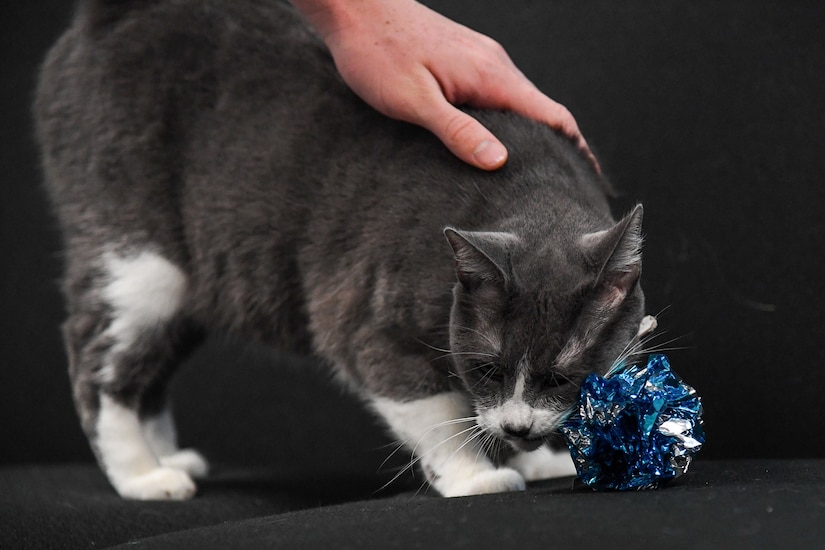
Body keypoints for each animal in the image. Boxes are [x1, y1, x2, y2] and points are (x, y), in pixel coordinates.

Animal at [33, 0, 652, 500]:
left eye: (562, 379)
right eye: (487, 367)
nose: (520, 429)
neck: (533, 197)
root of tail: (116, 14)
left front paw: (538, 457)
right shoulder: (366, 323)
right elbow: (439, 411)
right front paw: (478, 477)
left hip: (195, 286)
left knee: (150, 367)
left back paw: (169, 457)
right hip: (139, 258)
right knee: (97, 358)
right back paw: (143, 475)